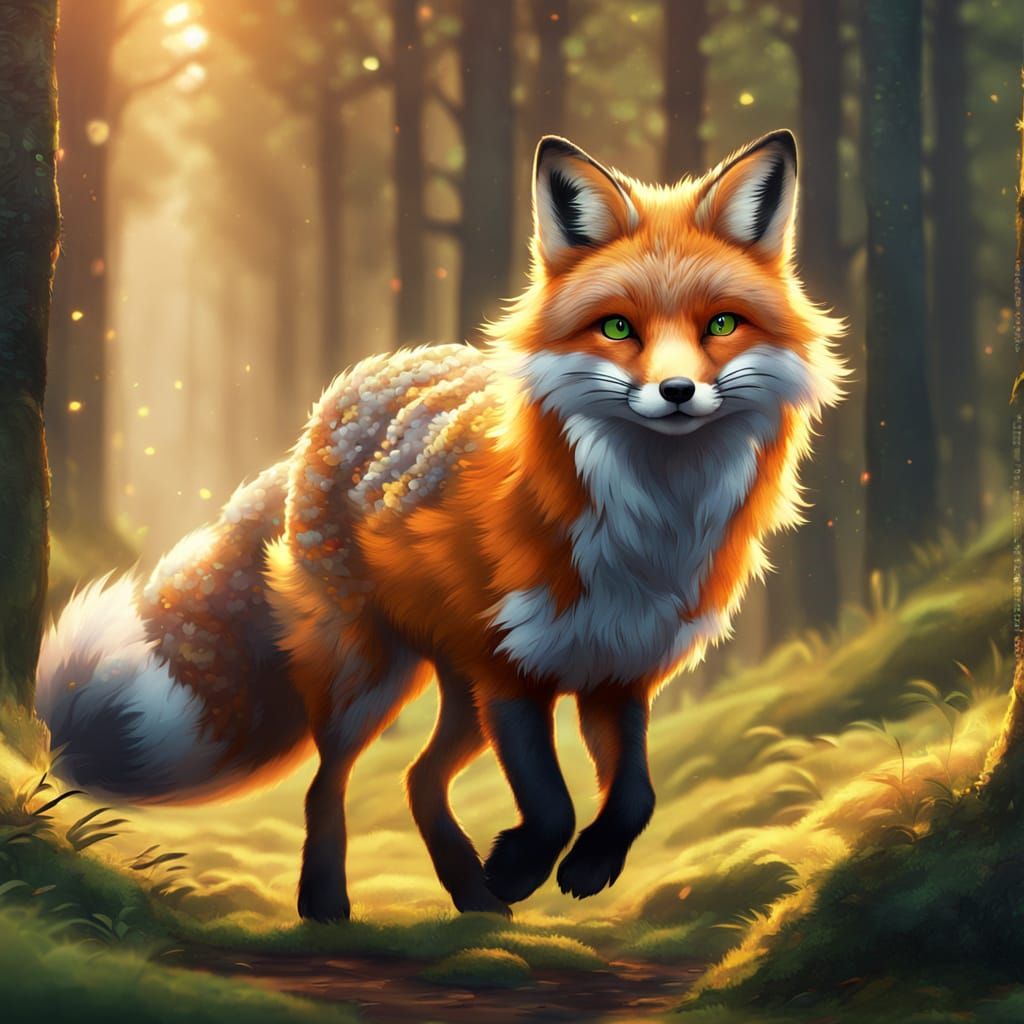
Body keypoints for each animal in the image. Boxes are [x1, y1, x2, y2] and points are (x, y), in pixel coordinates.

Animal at [36, 130, 845, 922]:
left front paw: (578, 868)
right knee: (327, 782)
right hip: (372, 674)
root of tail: (340, 399)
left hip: (456, 694)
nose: (677, 391)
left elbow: (635, 800)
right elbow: (551, 805)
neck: (646, 535)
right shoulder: (512, 672)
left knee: (418, 780)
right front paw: (521, 867)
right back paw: (329, 901)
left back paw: (470, 894)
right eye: (617, 327)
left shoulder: (619, 672)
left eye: (720, 324)